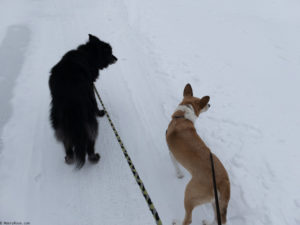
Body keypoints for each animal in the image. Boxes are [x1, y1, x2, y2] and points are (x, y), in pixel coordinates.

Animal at [49, 34, 117, 168]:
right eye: (109, 52)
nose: (116, 58)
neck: (87, 55)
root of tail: (70, 99)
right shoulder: (91, 90)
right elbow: (96, 104)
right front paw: (100, 112)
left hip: (60, 122)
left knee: (67, 143)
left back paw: (69, 158)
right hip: (89, 121)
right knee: (89, 144)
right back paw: (94, 157)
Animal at [165, 83, 231, 225]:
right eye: (204, 103)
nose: (210, 104)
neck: (183, 117)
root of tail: (223, 182)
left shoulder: (171, 153)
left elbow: (176, 166)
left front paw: (179, 175)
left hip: (190, 193)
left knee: (188, 219)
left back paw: (176, 221)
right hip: (215, 202)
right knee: (217, 218)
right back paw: (207, 222)